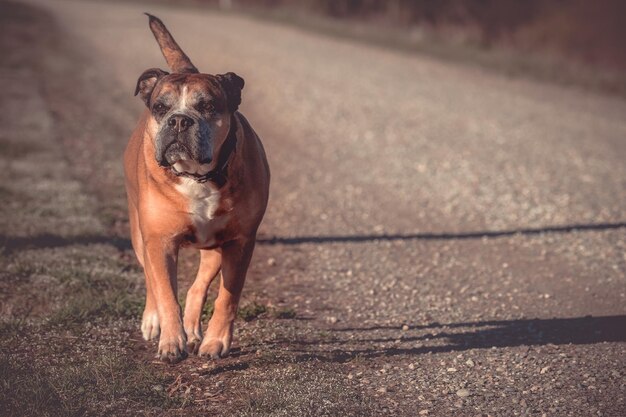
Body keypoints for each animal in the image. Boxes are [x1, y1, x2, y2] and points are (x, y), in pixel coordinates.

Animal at [123, 14, 268, 362]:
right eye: (160, 108)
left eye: (208, 107)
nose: (179, 120)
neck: (198, 176)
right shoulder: (159, 242)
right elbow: (164, 291)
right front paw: (170, 340)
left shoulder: (240, 243)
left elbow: (227, 297)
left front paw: (216, 341)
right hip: (139, 235)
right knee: (151, 279)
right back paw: (154, 321)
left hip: (215, 246)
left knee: (197, 287)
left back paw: (192, 329)